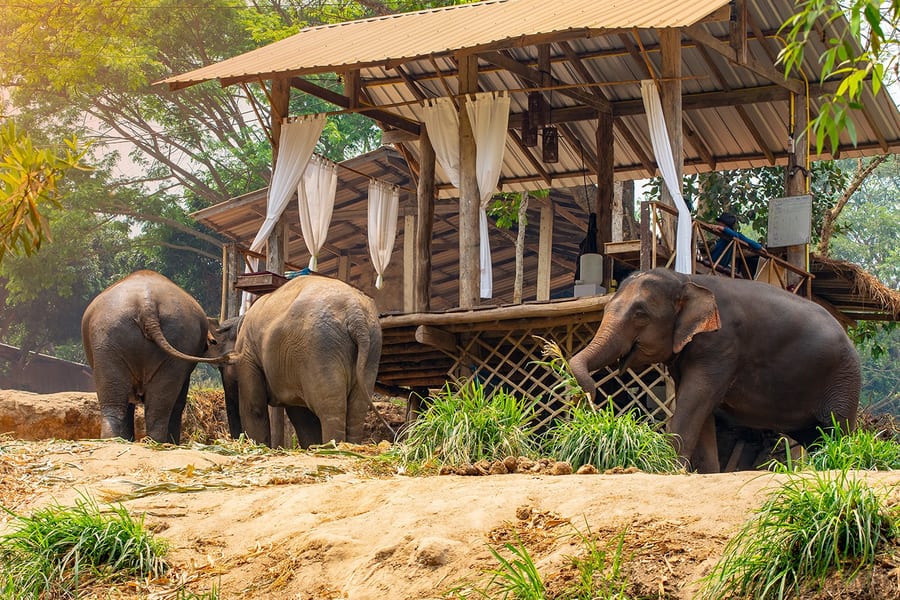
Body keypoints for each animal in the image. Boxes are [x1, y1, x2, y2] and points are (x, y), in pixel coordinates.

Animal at [229, 273, 382, 448]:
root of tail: (354, 313)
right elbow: (301, 415)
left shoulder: (247, 353)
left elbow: (254, 408)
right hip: (371, 347)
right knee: (357, 408)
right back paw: (349, 446)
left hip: (320, 347)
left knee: (330, 407)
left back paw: (332, 447)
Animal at [569, 268, 860, 473]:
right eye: (606, 308)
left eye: (640, 314)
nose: (591, 397)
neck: (686, 279)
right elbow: (700, 407)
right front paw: (705, 473)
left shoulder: (721, 345)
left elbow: (695, 398)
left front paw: (668, 468)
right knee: (815, 437)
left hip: (843, 380)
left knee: (836, 428)